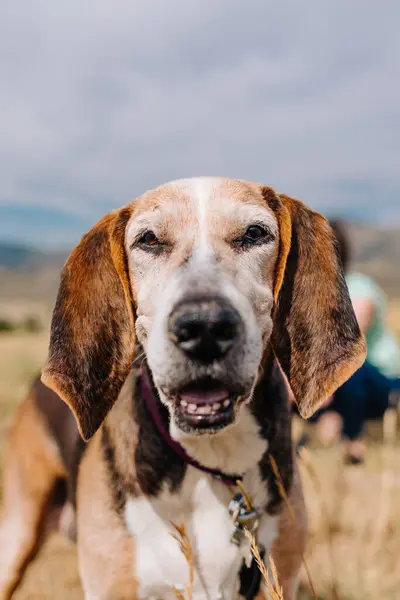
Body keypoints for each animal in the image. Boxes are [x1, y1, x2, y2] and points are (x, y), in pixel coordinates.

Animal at [0, 176, 366, 596]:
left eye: (254, 233)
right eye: (149, 240)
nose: (204, 326)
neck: (211, 458)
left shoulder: (278, 579)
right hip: (17, 535)